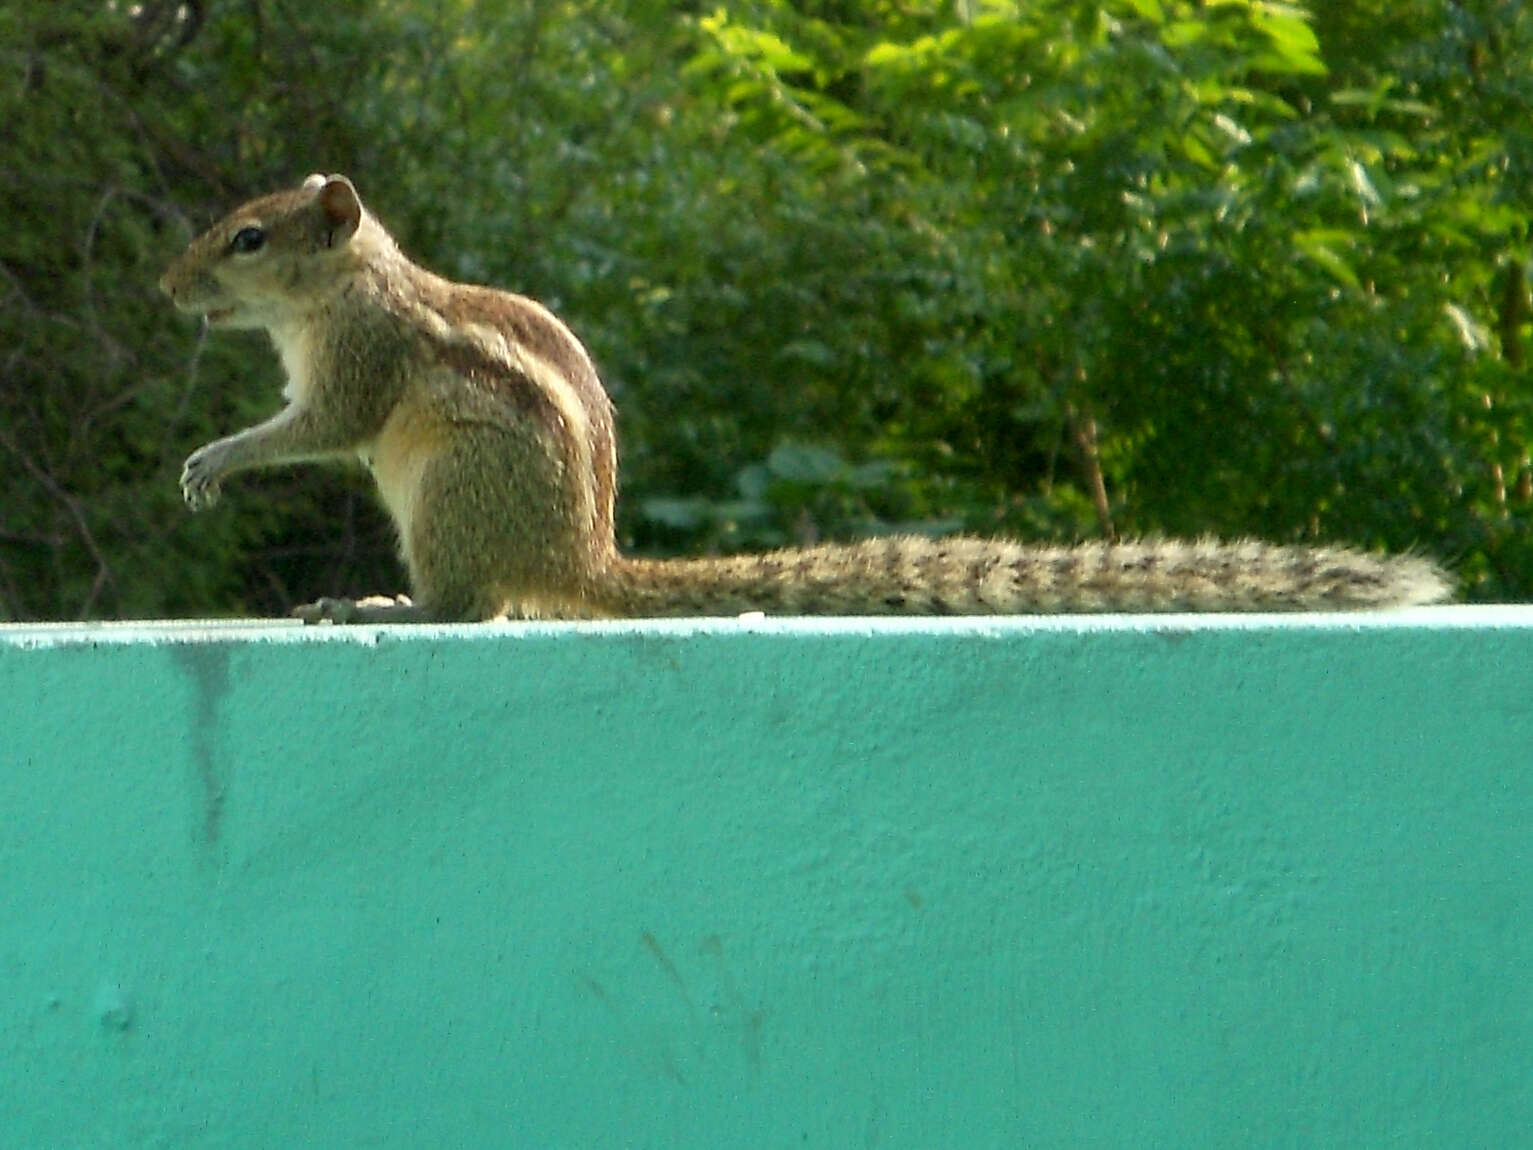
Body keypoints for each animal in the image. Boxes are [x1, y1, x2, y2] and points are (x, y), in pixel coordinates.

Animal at [161, 172, 1453, 622]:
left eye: (249, 238)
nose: (167, 285)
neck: (346, 286)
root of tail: (584, 556)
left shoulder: (361, 364)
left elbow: (318, 428)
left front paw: (216, 458)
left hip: (445, 494)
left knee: (472, 610)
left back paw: (381, 604)